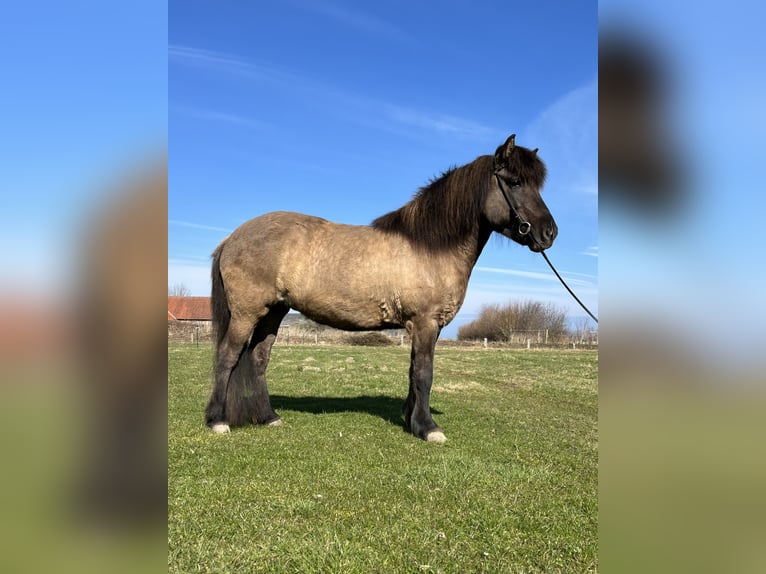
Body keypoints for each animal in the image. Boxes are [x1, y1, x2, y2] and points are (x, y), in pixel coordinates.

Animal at [205, 134, 557, 443]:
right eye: (515, 182)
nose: (549, 233)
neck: (430, 246)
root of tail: (232, 238)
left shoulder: (427, 326)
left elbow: (415, 371)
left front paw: (412, 418)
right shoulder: (425, 322)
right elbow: (424, 373)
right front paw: (428, 428)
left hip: (273, 312)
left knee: (258, 359)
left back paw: (269, 417)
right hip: (247, 313)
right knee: (227, 356)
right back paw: (218, 421)